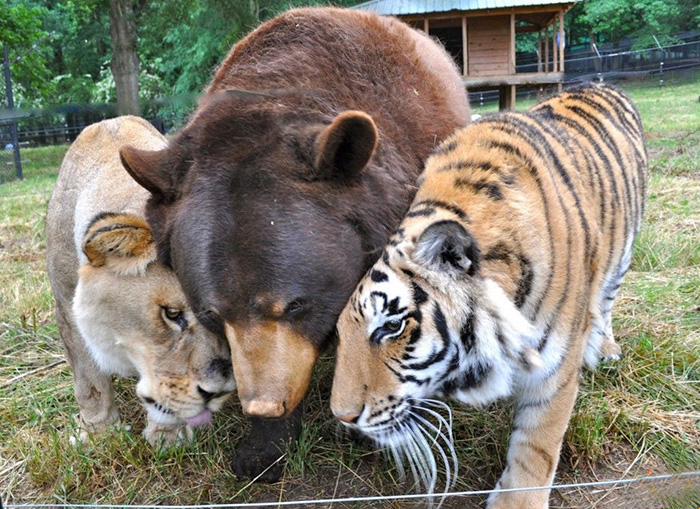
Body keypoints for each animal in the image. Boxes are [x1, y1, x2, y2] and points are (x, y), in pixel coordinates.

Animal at [46, 116, 236, 446]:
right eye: (172, 314)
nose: (219, 392)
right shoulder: (66, 306)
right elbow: (89, 381)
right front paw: (98, 433)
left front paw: (168, 436)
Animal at [330, 82, 647, 508]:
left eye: (392, 326)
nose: (342, 417)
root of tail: (601, 83)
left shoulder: (555, 366)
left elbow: (537, 444)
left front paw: (517, 501)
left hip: (623, 254)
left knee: (607, 300)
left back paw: (606, 347)